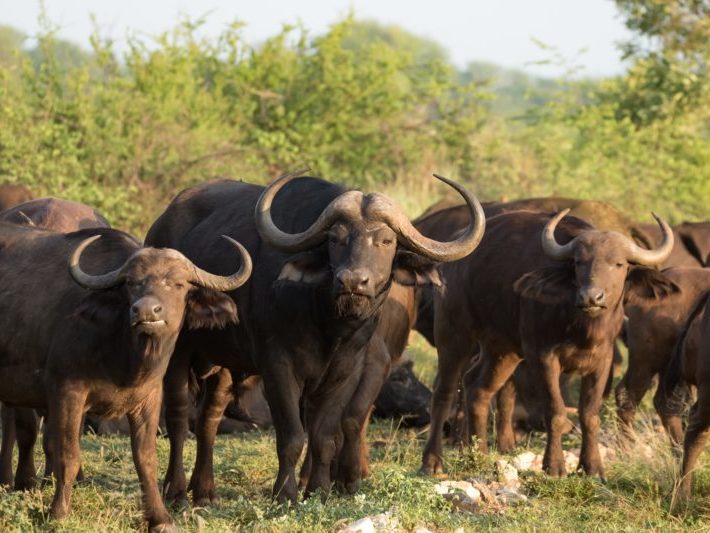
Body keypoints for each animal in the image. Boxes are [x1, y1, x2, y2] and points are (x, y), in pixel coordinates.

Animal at [0, 222, 251, 529]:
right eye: (132, 283)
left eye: (179, 284)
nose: (146, 310)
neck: (125, 356)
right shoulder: (66, 393)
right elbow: (67, 456)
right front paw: (57, 513)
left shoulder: (149, 397)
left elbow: (146, 459)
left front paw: (160, 518)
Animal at [145, 172, 484, 504]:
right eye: (336, 239)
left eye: (386, 241)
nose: (353, 281)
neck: (327, 324)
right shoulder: (277, 368)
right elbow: (292, 435)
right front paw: (285, 494)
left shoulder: (346, 371)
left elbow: (324, 435)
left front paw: (319, 490)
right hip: (178, 352)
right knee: (178, 418)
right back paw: (176, 493)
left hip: (224, 362)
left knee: (209, 419)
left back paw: (205, 492)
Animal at [421, 209, 675, 477]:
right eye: (578, 262)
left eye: (619, 264)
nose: (591, 297)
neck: (580, 325)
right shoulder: (543, 357)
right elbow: (555, 411)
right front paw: (554, 465)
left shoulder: (603, 361)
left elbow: (590, 414)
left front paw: (592, 467)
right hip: (454, 333)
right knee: (444, 390)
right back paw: (432, 462)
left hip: (502, 349)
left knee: (477, 387)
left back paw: (477, 454)